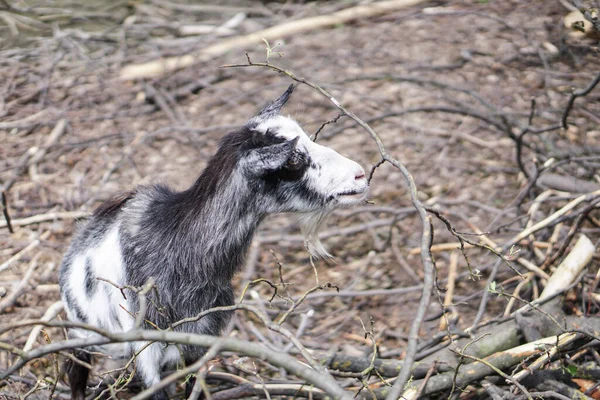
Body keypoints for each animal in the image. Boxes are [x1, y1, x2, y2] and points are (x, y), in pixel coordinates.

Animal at [59, 85, 370, 400]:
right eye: (293, 160)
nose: (359, 174)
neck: (178, 245)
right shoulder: (146, 343)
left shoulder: (201, 336)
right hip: (82, 334)